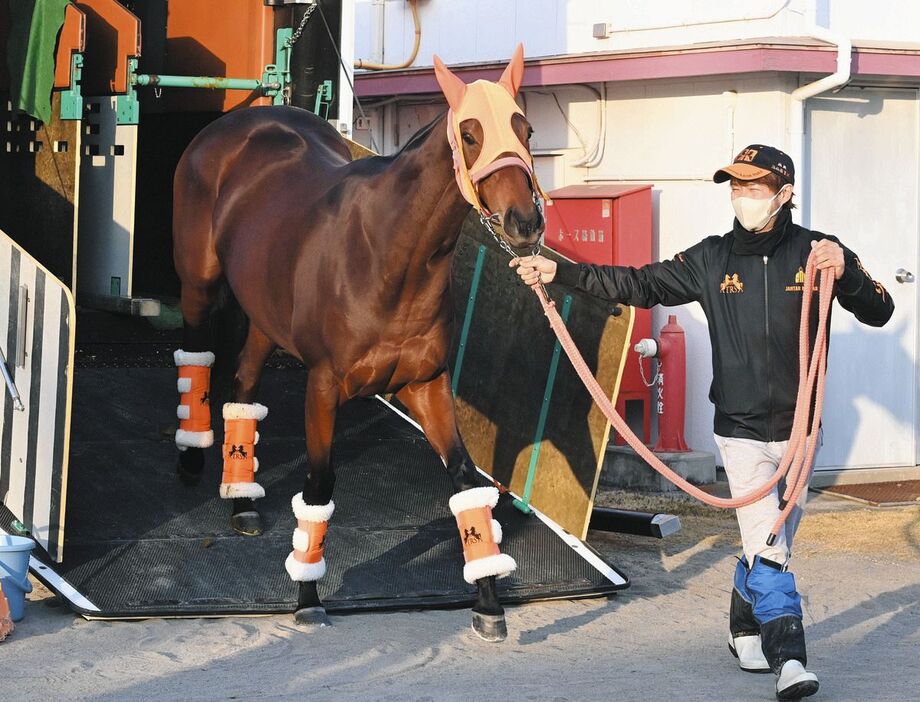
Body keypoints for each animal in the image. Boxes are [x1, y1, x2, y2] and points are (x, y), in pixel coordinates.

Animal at [170, 45, 544, 644]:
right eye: (469, 134)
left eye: (525, 128)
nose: (525, 222)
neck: (387, 253)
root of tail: (235, 123)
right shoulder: (323, 386)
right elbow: (319, 489)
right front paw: (307, 595)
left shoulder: (426, 384)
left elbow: (465, 482)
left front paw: (488, 601)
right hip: (199, 283)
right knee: (196, 357)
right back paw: (190, 457)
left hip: (265, 314)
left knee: (244, 385)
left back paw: (242, 498)